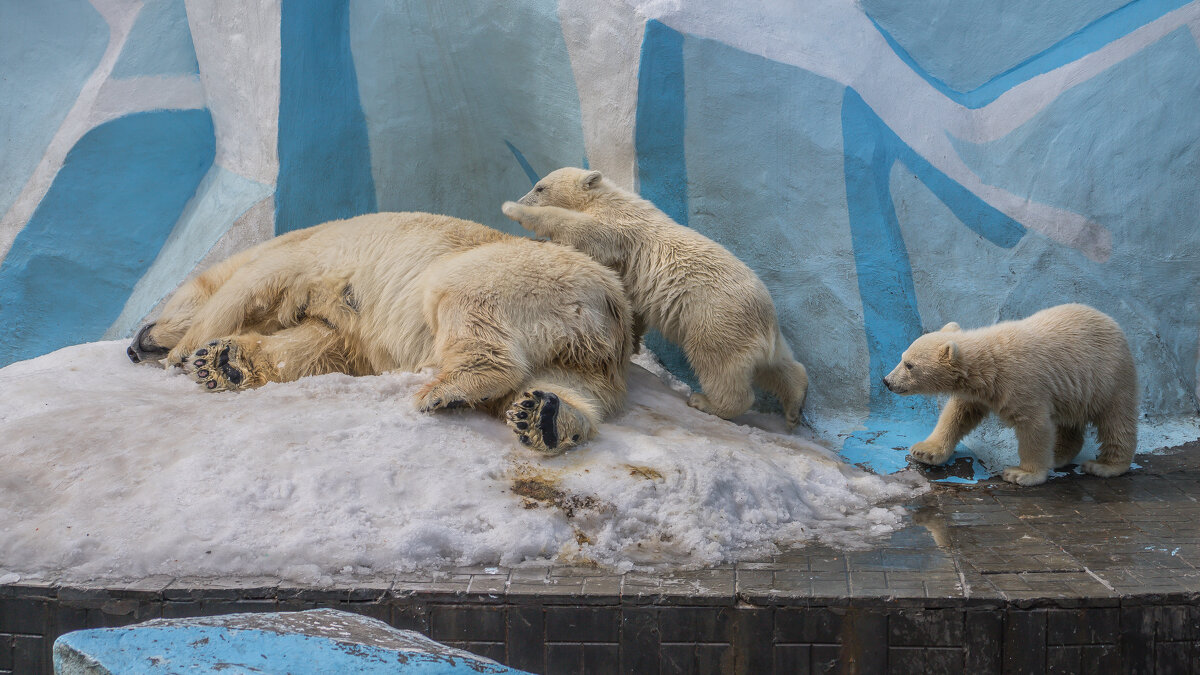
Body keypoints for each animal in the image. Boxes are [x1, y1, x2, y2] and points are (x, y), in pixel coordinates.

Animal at [127, 210, 638, 454]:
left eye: (152, 313)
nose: (133, 346)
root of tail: (611, 298)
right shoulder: (337, 317)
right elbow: (318, 345)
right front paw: (223, 363)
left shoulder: (297, 255)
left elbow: (246, 291)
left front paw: (188, 353)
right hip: (584, 347)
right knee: (571, 384)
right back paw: (545, 418)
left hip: (515, 275)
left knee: (464, 301)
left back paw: (445, 390)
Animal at [496, 165, 806, 425]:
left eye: (540, 187)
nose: (522, 198)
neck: (606, 197)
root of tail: (767, 321)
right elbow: (631, 304)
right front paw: (633, 343)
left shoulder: (618, 227)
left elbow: (582, 230)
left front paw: (512, 209)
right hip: (755, 334)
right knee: (777, 367)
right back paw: (795, 405)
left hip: (717, 319)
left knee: (719, 365)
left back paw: (706, 402)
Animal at [888, 303, 1137, 482]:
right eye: (902, 357)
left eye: (909, 365)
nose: (887, 381)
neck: (989, 363)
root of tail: (1114, 324)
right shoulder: (978, 392)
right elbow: (957, 415)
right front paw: (925, 451)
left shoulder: (1021, 383)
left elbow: (1034, 425)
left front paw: (1022, 473)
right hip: (1074, 391)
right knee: (1068, 422)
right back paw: (1058, 455)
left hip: (1109, 379)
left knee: (1116, 421)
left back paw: (1105, 466)